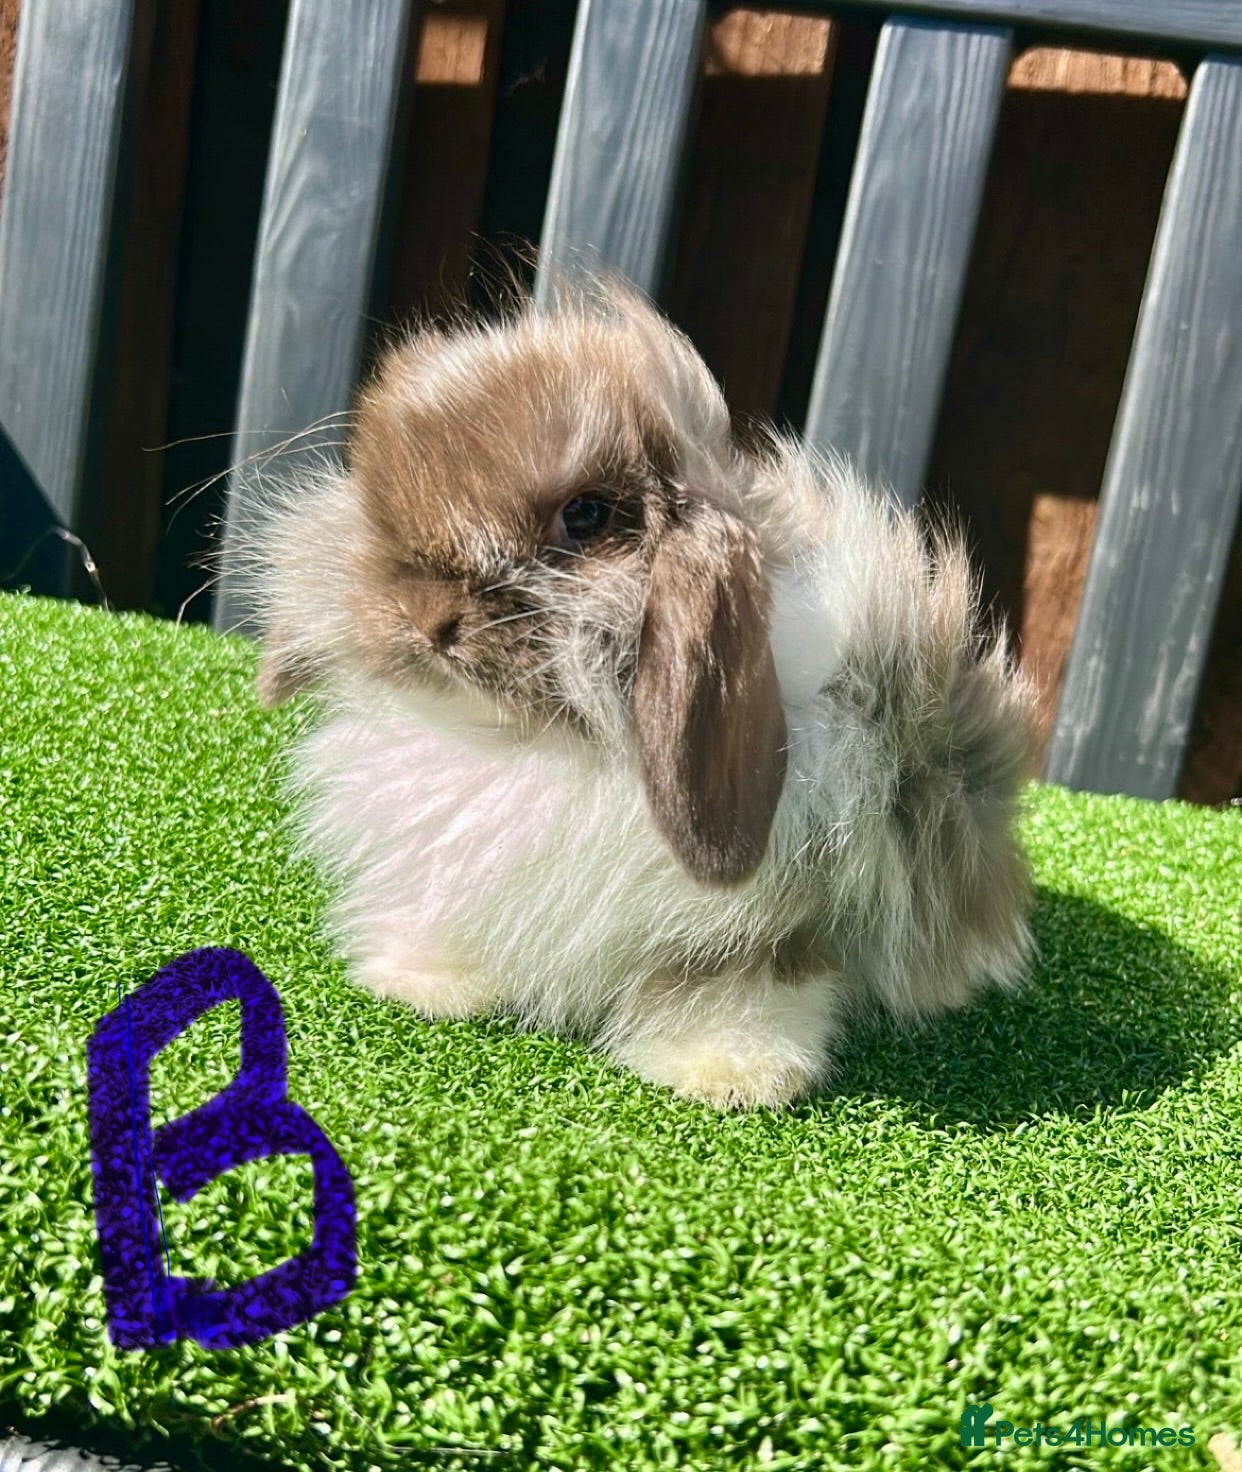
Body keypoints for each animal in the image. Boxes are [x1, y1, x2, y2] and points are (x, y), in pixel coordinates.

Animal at [240, 273, 1037, 1111]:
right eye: (376, 493)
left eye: (587, 516)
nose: (423, 616)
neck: (536, 742)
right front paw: (419, 982)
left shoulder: (773, 917)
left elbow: (744, 987)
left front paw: (730, 1076)